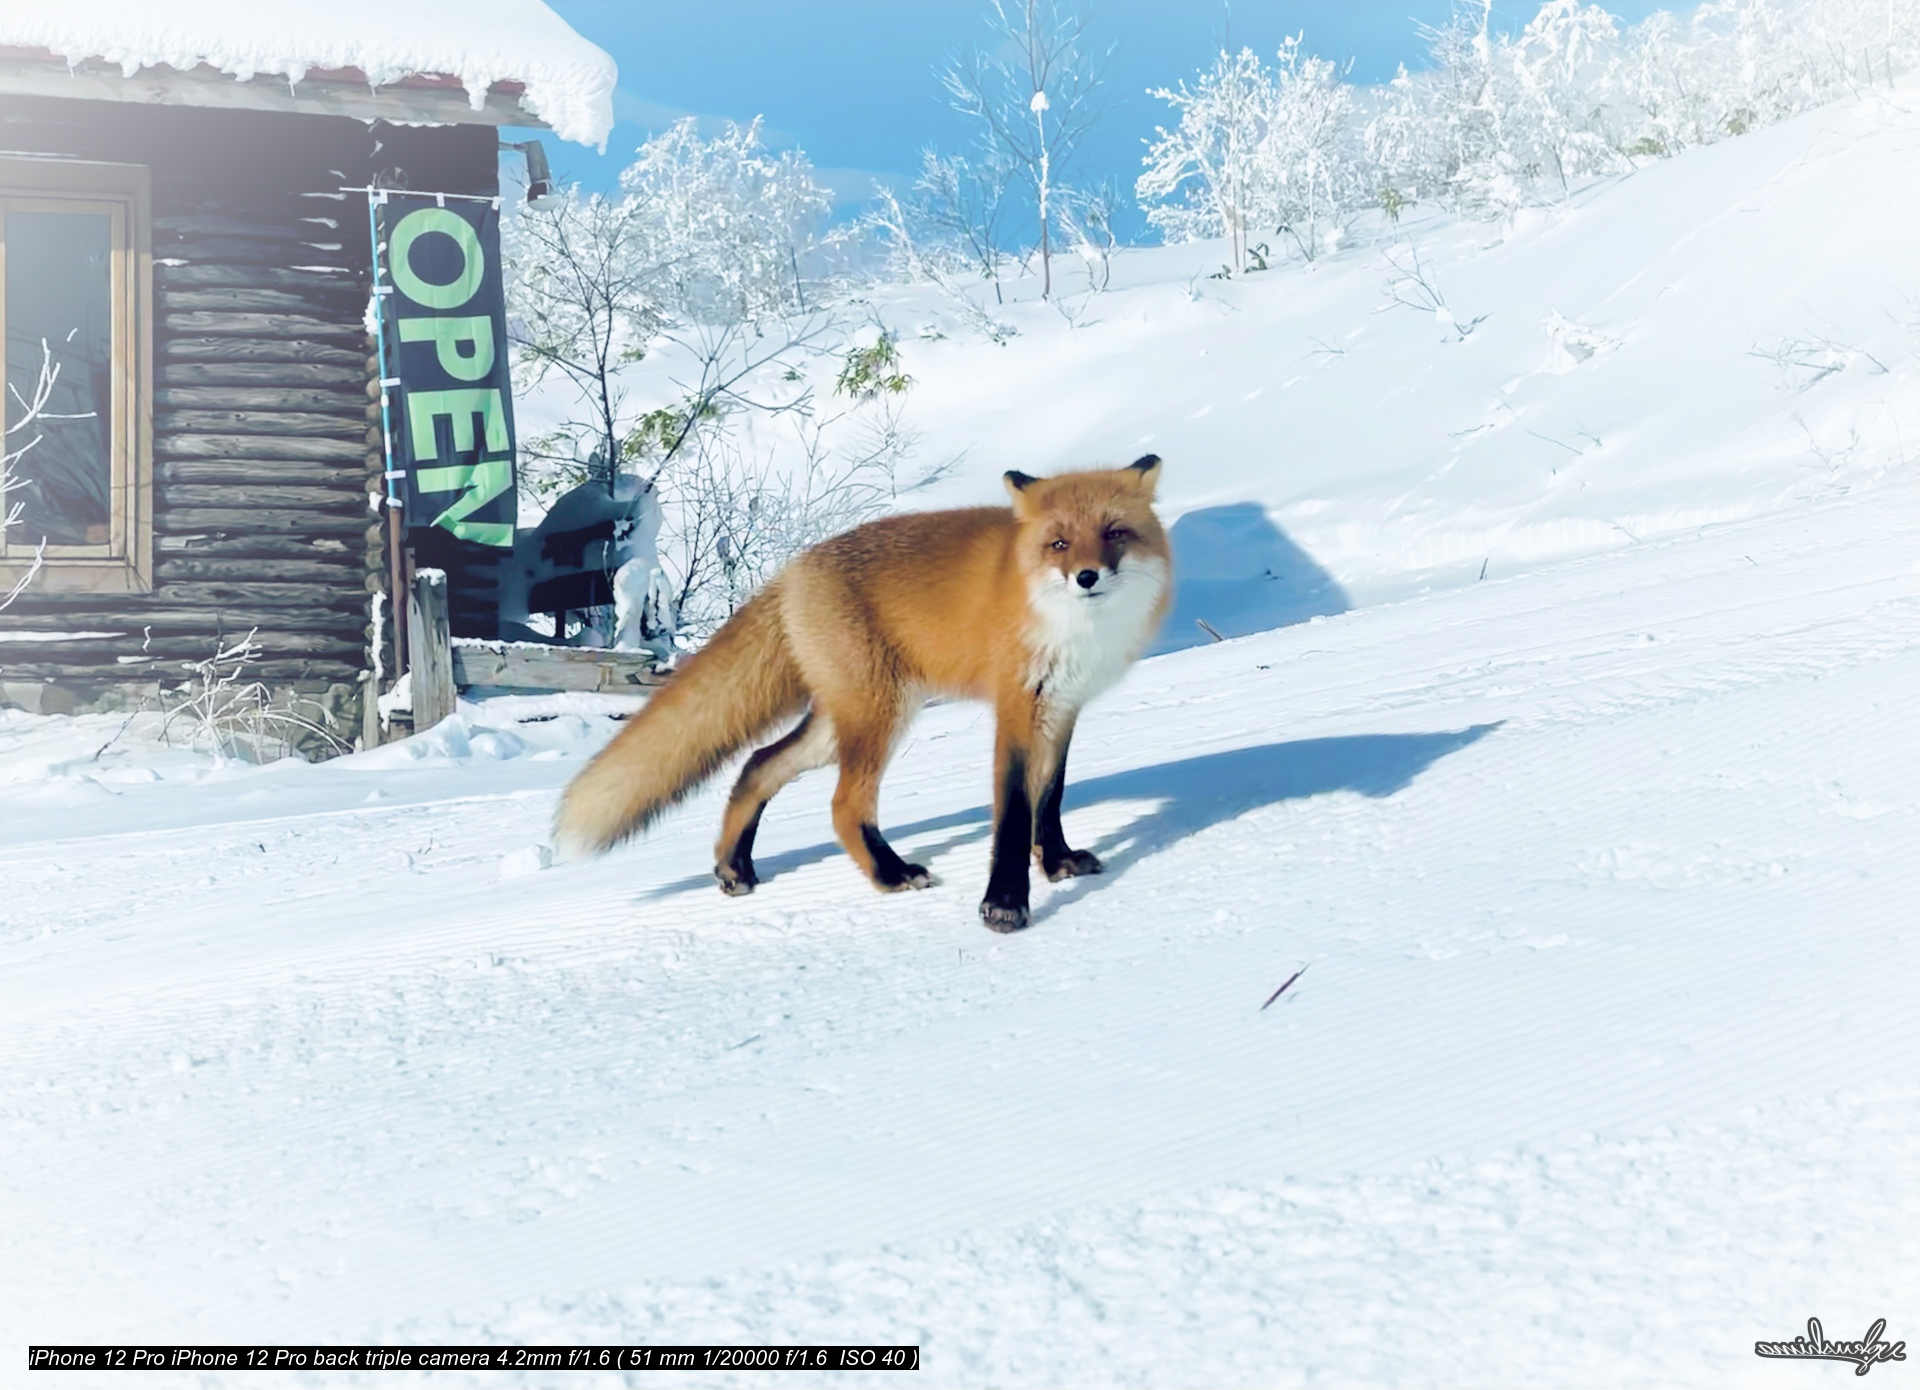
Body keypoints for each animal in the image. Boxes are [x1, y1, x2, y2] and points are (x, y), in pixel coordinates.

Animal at [556, 456, 1167, 933]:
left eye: (1114, 533)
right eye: (1058, 544)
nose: (1087, 577)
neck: (1075, 631)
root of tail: (790, 572)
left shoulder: (1063, 709)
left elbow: (1050, 799)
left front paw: (1058, 863)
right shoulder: (1017, 709)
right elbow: (1015, 814)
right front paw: (1004, 907)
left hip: (842, 724)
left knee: (758, 764)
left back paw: (735, 867)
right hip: (879, 717)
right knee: (843, 804)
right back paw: (890, 875)